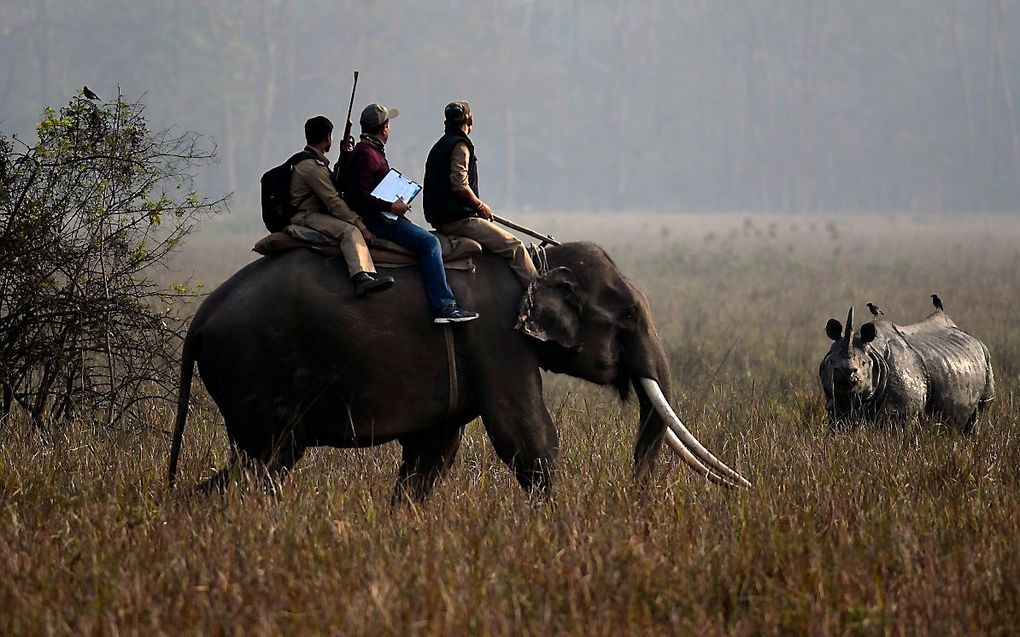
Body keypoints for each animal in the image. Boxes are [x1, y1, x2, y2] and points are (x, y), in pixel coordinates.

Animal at [169, 240, 750, 499]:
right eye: (627, 315)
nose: (634, 492)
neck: (535, 260)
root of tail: (199, 321)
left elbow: (433, 453)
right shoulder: (496, 338)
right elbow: (528, 437)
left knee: (257, 465)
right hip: (254, 372)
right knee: (268, 462)